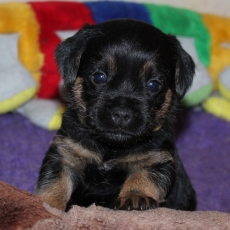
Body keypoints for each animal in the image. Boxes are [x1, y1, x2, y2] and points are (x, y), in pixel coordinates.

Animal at [36, 18, 196, 211]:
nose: (122, 114)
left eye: (153, 85)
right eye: (99, 77)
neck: (111, 148)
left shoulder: (156, 160)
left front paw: (135, 197)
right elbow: (54, 183)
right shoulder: (65, 155)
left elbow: (142, 177)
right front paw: (48, 206)